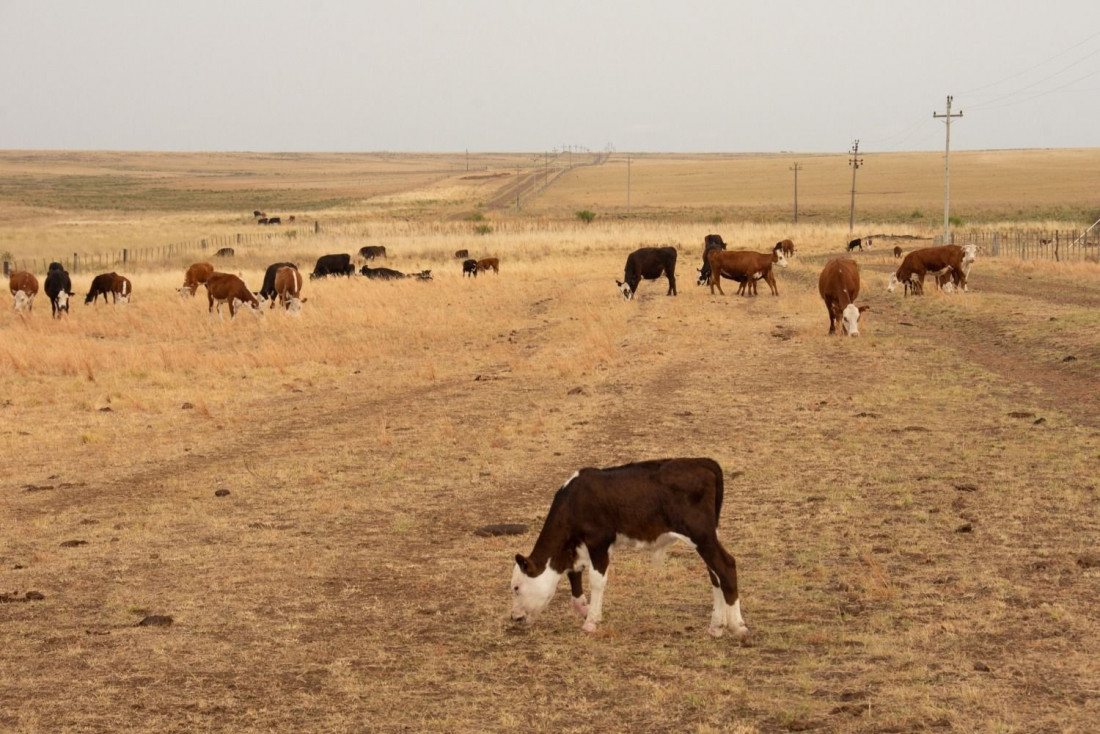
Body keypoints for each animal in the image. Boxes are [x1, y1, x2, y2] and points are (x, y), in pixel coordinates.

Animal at [508, 455, 748, 638]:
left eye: (516, 587)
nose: (515, 618)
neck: (575, 500)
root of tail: (703, 462)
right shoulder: (576, 548)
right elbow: (574, 578)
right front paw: (586, 610)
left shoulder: (598, 541)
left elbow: (596, 581)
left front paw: (591, 621)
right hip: (709, 535)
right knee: (714, 574)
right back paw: (716, 626)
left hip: (701, 535)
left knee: (726, 566)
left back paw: (738, 626)